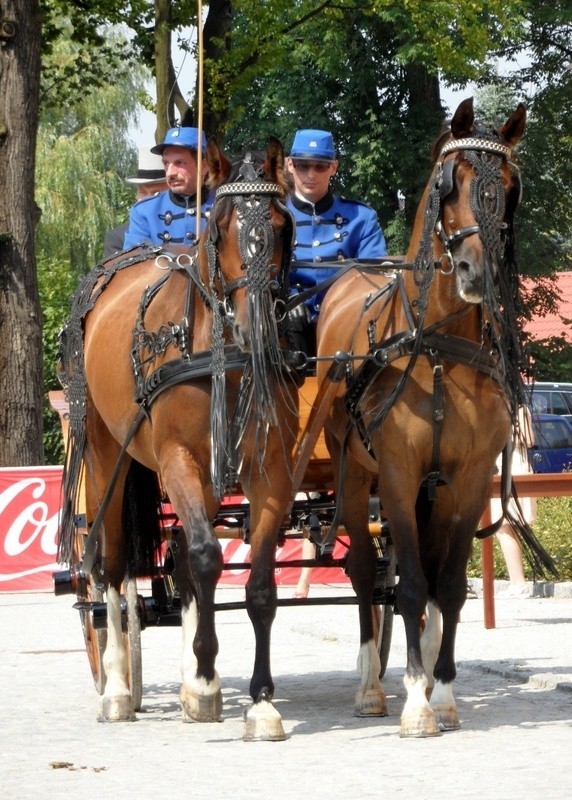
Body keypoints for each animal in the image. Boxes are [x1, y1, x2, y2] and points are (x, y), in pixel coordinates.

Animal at [58, 136, 300, 736]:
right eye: (222, 227)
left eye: (282, 224)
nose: (256, 324)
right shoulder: (175, 459)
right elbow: (207, 556)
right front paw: (208, 674)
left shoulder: (269, 472)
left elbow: (257, 584)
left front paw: (258, 700)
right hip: (108, 458)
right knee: (111, 567)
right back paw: (118, 688)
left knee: (183, 565)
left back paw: (192, 686)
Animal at [316, 97, 552, 736]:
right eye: (451, 184)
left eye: (510, 189)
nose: (476, 272)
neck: (440, 347)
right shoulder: (398, 475)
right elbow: (411, 586)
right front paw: (417, 702)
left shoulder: (467, 480)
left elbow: (446, 586)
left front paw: (441, 692)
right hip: (356, 480)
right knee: (367, 574)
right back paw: (372, 684)